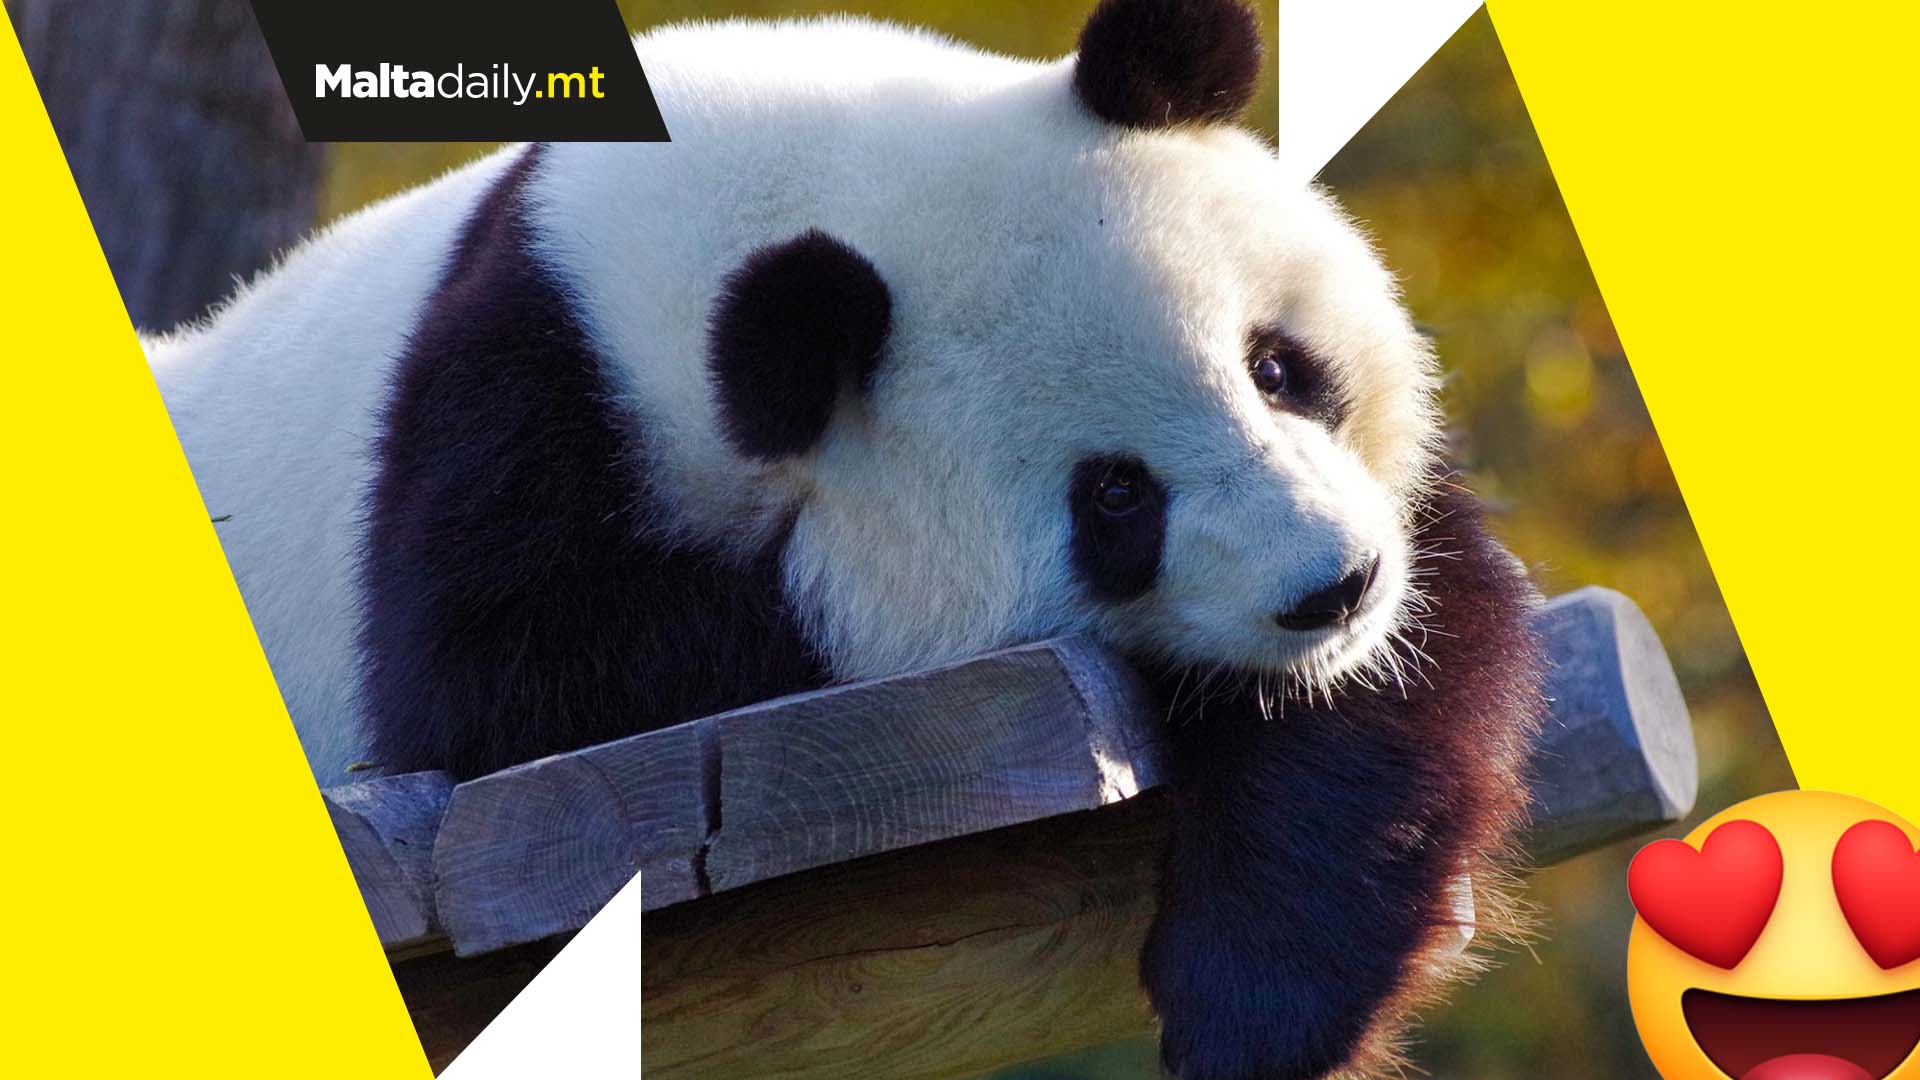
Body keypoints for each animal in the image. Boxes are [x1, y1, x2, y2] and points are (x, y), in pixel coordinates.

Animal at [145, 0, 1545, 1076]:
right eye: (1114, 499)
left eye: (1277, 366)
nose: (1332, 589)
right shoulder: (507, 428)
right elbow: (509, 685)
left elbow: (1419, 650)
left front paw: (1256, 996)